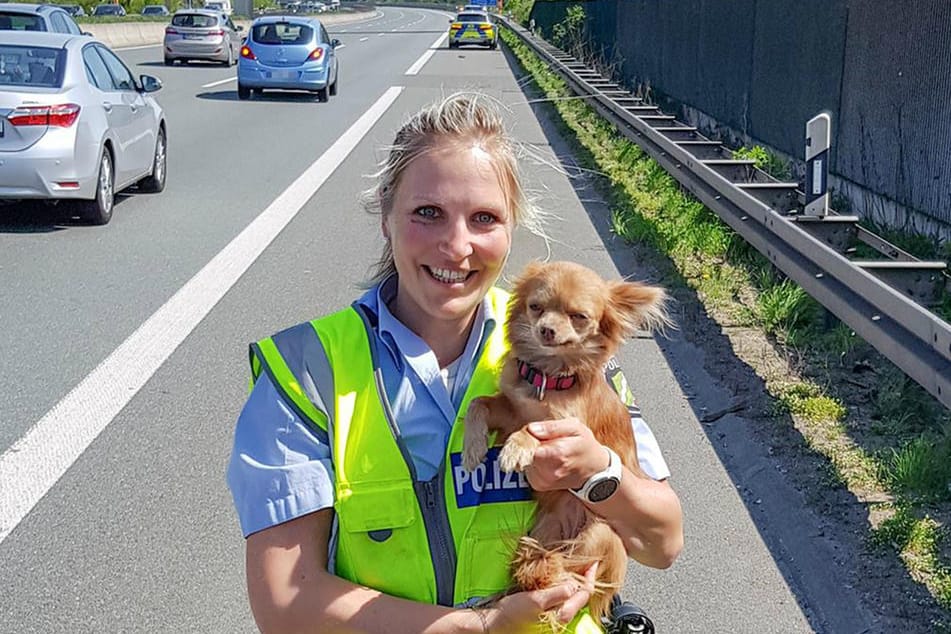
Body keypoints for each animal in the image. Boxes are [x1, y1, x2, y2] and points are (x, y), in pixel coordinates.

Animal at [462, 258, 668, 624]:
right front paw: (473, 447)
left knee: (565, 569)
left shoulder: (566, 426)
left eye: (578, 316)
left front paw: (515, 449)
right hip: (542, 532)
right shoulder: (509, 408)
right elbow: (479, 403)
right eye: (536, 307)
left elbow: (534, 428)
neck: (546, 377)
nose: (546, 329)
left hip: (597, 535)